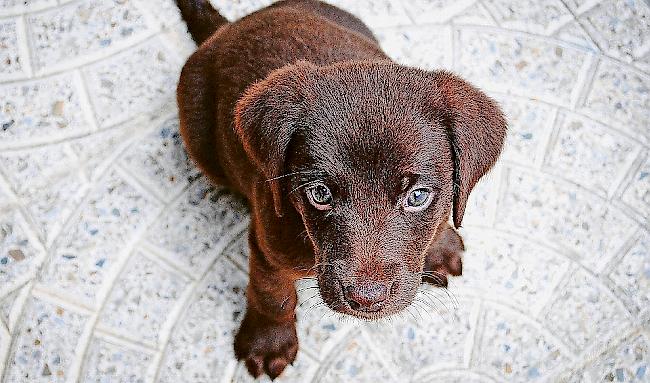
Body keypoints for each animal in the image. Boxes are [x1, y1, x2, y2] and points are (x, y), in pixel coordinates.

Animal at [173, 0, 506, 378]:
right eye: (319, 194)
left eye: (418, 196)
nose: (366, 299)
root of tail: (228, 28)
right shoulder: (268, 243)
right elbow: (273, 293)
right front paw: (268, 341)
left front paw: (439, 243)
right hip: (198, 135)